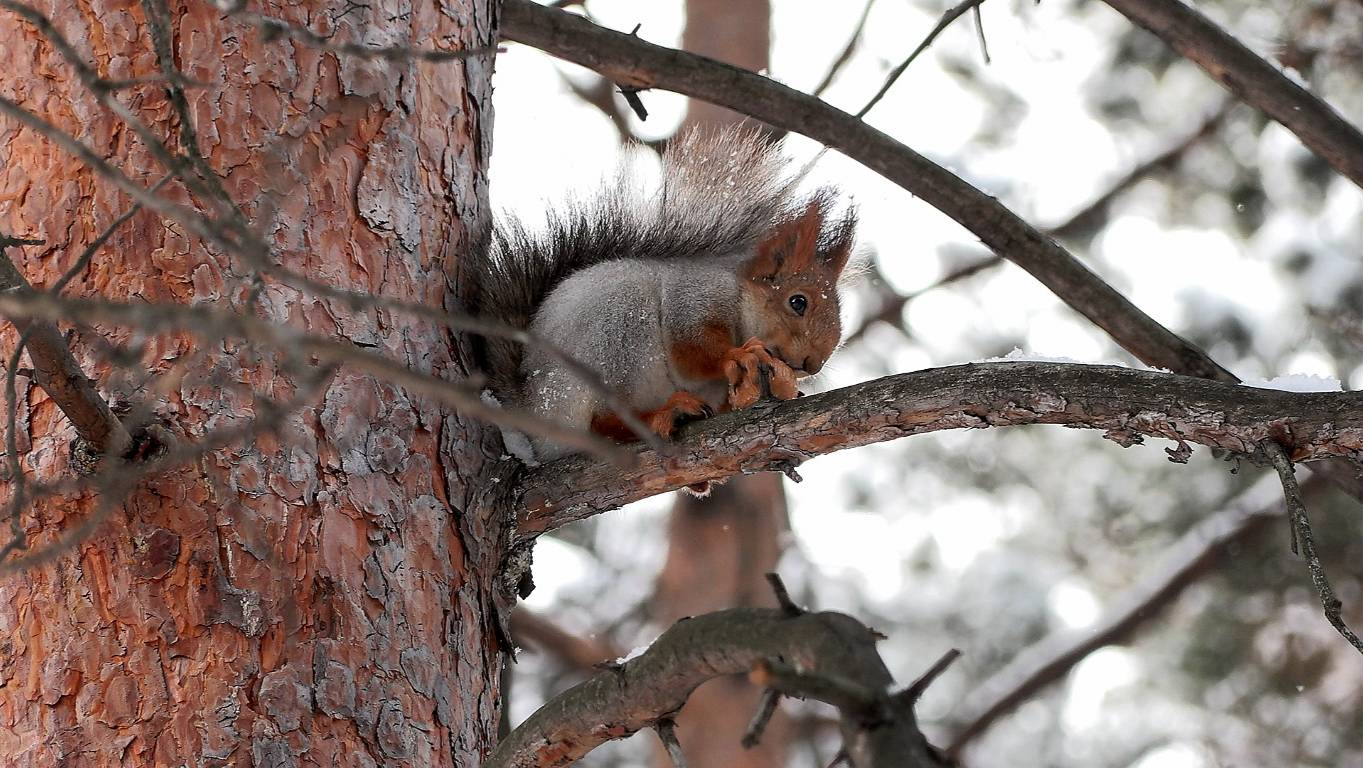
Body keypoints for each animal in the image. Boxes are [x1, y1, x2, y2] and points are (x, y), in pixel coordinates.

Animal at [468, 126, 850, 466]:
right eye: (797, 301)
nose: (813, 364)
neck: (740, 297)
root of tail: (532, 410)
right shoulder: (693, 296)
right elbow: (690, 349)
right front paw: (739, 354)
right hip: (615, 336)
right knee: (602, 421)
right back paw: (661, 415)